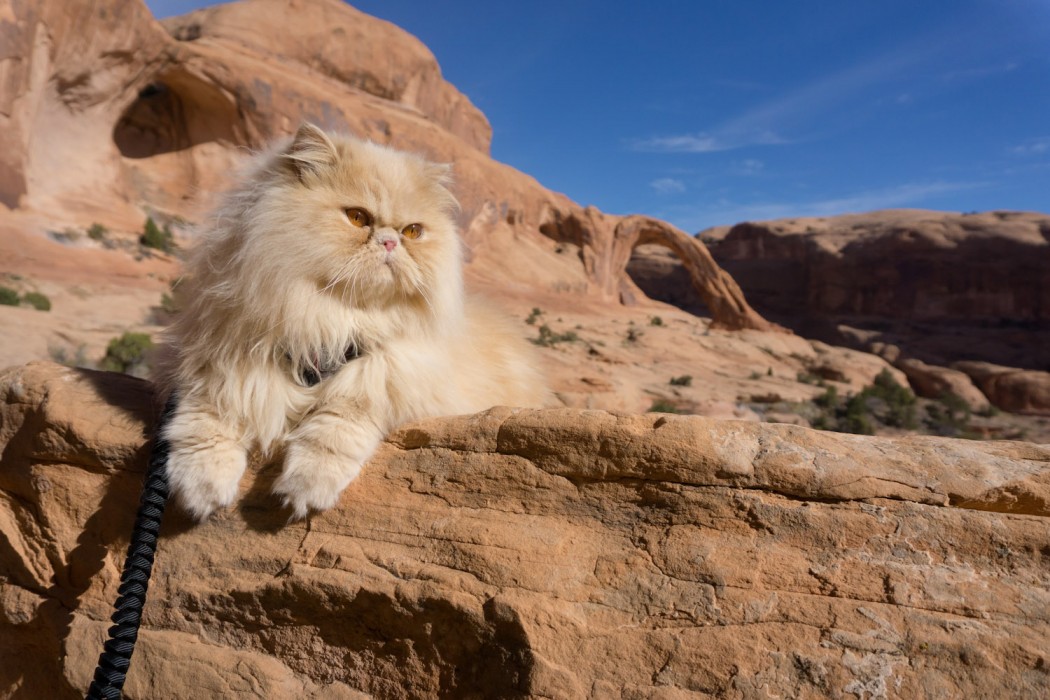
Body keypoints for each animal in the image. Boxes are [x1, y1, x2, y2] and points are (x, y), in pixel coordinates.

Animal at [156, 124, 554, 520]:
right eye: (358, 218)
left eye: (412, 232)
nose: (390, 242)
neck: (331, 320)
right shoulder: (219, 365)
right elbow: (204, 426)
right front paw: (201, 490)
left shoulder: (387, 379)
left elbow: (335, 427)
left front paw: (306, 488)